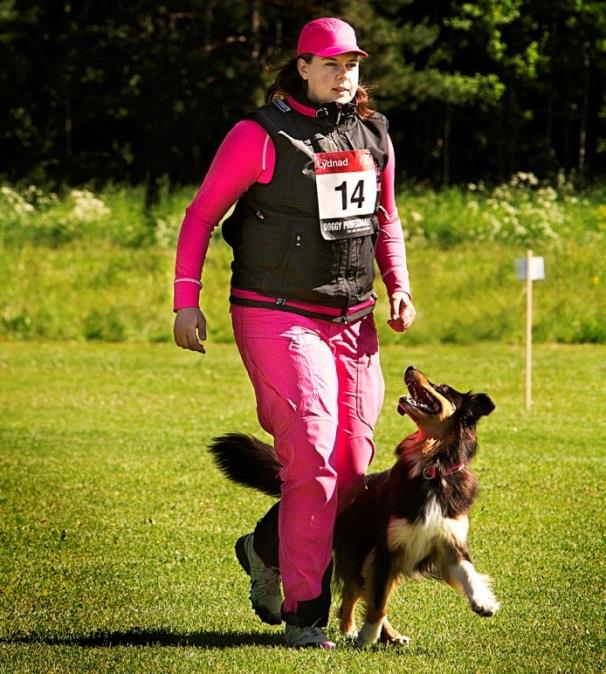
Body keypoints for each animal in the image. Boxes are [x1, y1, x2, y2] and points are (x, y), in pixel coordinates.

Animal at [211, 364, 502, 648]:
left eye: (441, 388)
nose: (410, 367)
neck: (433, 466)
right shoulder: (386, 549)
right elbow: (378, 602)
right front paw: (368, 635)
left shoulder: (449, 540)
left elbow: (468, 571)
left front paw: (483, 602)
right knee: (356, 589)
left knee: (355, 591)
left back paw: (377, 633)